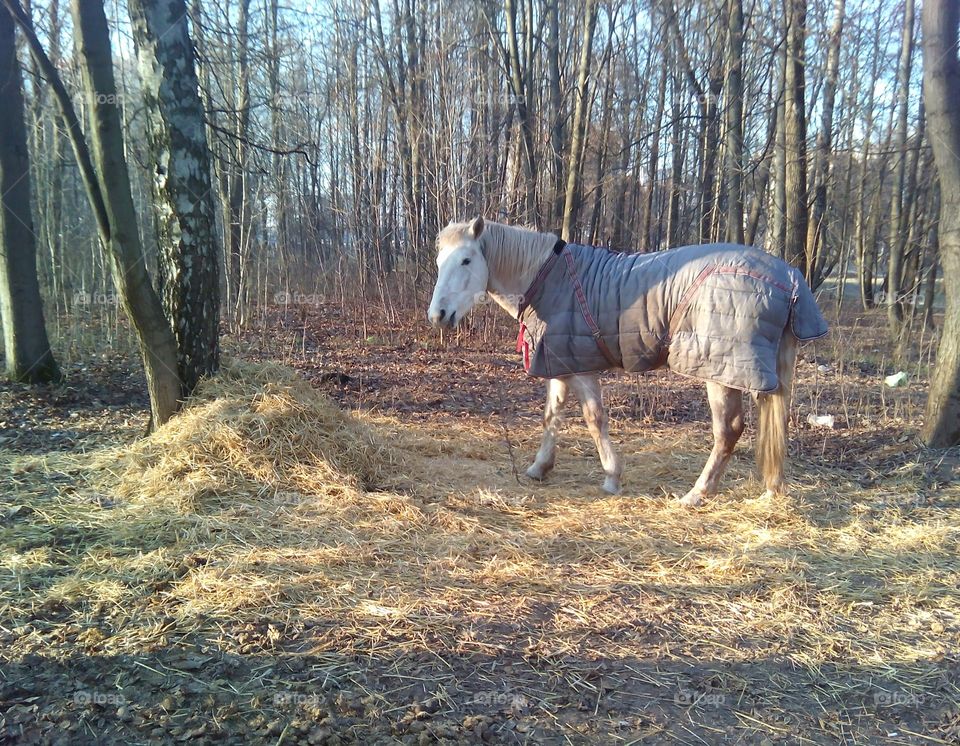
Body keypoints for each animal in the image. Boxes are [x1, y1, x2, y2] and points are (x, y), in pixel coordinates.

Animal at [428, 217, 824, 506]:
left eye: (466, 260)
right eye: (439, 262)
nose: (438, 315)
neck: (546, 276)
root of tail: (788, 278)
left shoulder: (581, 368)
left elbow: (594, 418)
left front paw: (611, 477)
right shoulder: (560, 363)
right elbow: (552, 415)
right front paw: (540, 467)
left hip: (719, 372)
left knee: (728, 430)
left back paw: (697, 494)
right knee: (774, 422)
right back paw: (770, 490)